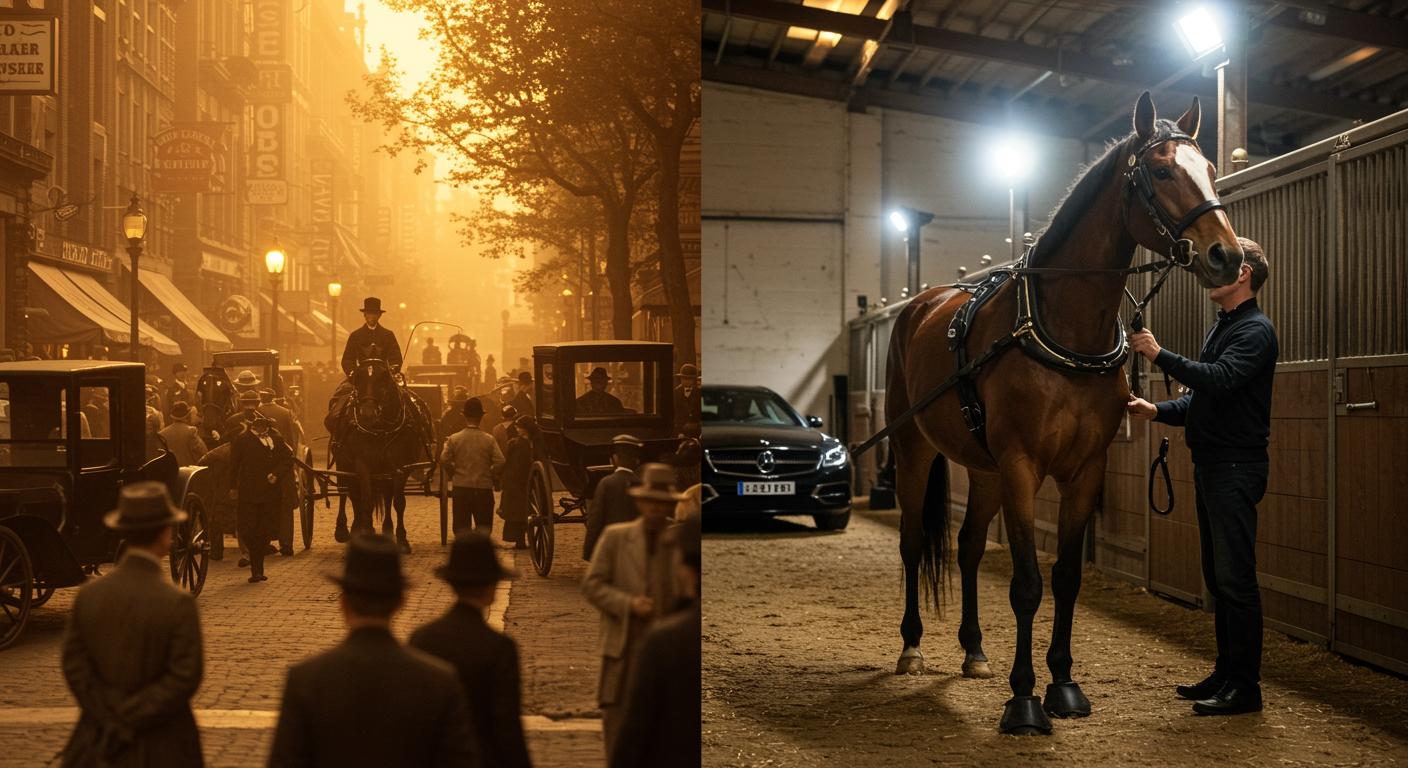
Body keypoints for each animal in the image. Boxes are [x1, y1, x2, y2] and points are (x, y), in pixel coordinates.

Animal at [328, 359, 433, 552]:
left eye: (384, 378)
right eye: (358, 378)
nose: (367, 413)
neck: (380, 428)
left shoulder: (400, 466)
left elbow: (398, 501)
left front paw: (401, 538)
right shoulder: (362, 465)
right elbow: (366, 501)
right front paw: (366, 532)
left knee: (384, 494)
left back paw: (386, 529)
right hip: (344, 461)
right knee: (348, 492)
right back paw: (346, 530)